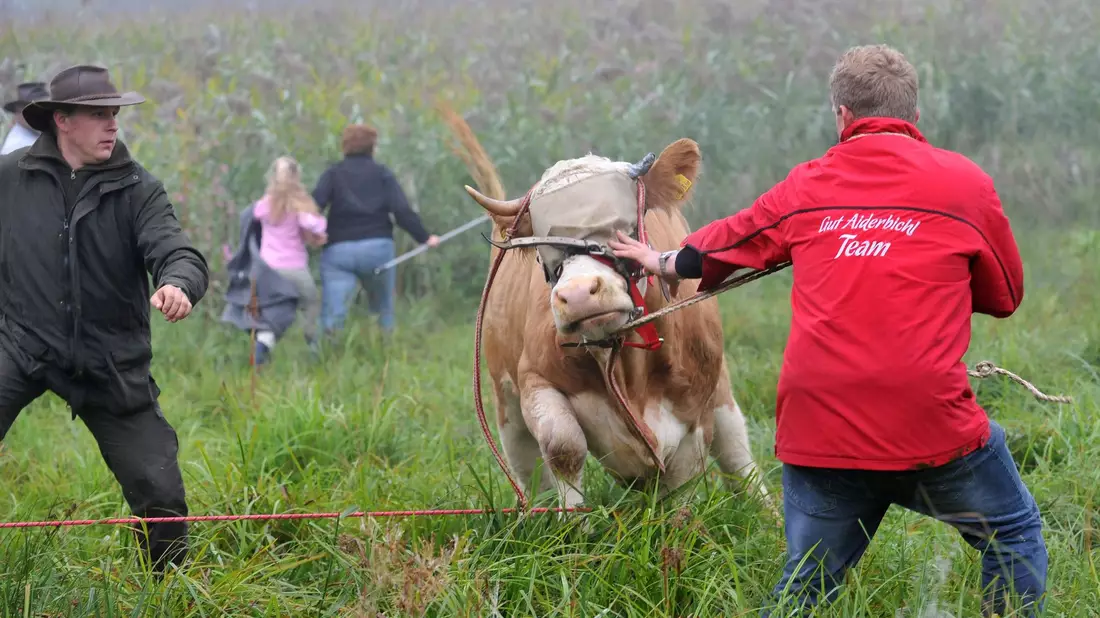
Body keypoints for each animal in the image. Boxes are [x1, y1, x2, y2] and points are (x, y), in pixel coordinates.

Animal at [465, 138, 772, 513]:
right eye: (542, 250)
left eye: (618, 229)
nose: (578, 294)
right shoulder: (535, 377)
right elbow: (562, 445)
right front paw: (574, 525)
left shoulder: (695, 411)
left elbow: (683, 481)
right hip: (505, 397)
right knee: (529, 468)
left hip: (720, 392)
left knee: (735, 450)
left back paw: (767, 511)